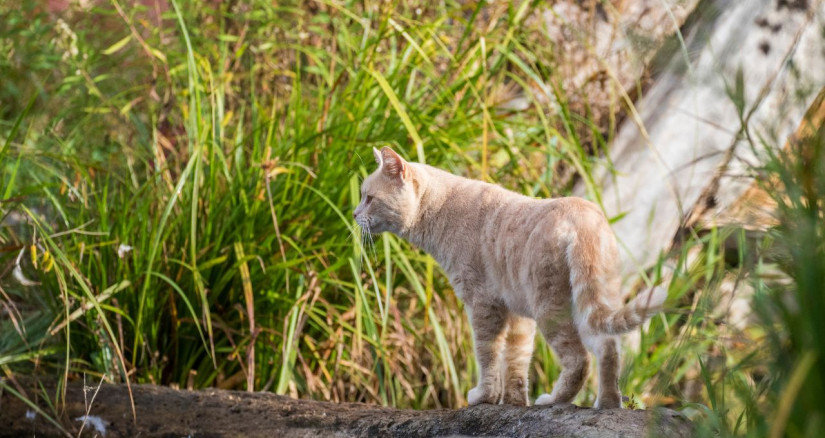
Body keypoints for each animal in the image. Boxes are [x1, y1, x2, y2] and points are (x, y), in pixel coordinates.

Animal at [350, 146, 668, 408]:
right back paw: (608, 403)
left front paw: (485, 396)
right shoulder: (517, 313)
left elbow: (487, 354)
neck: (441, 209)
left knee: (580, 359)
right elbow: (516, 361)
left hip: (551, 308)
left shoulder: (482, 303)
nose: (353, 213)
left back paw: (554, 400)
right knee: (608, 349)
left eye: (369, 198)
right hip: (590, 301)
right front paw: (514, 402)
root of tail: (584, 215)